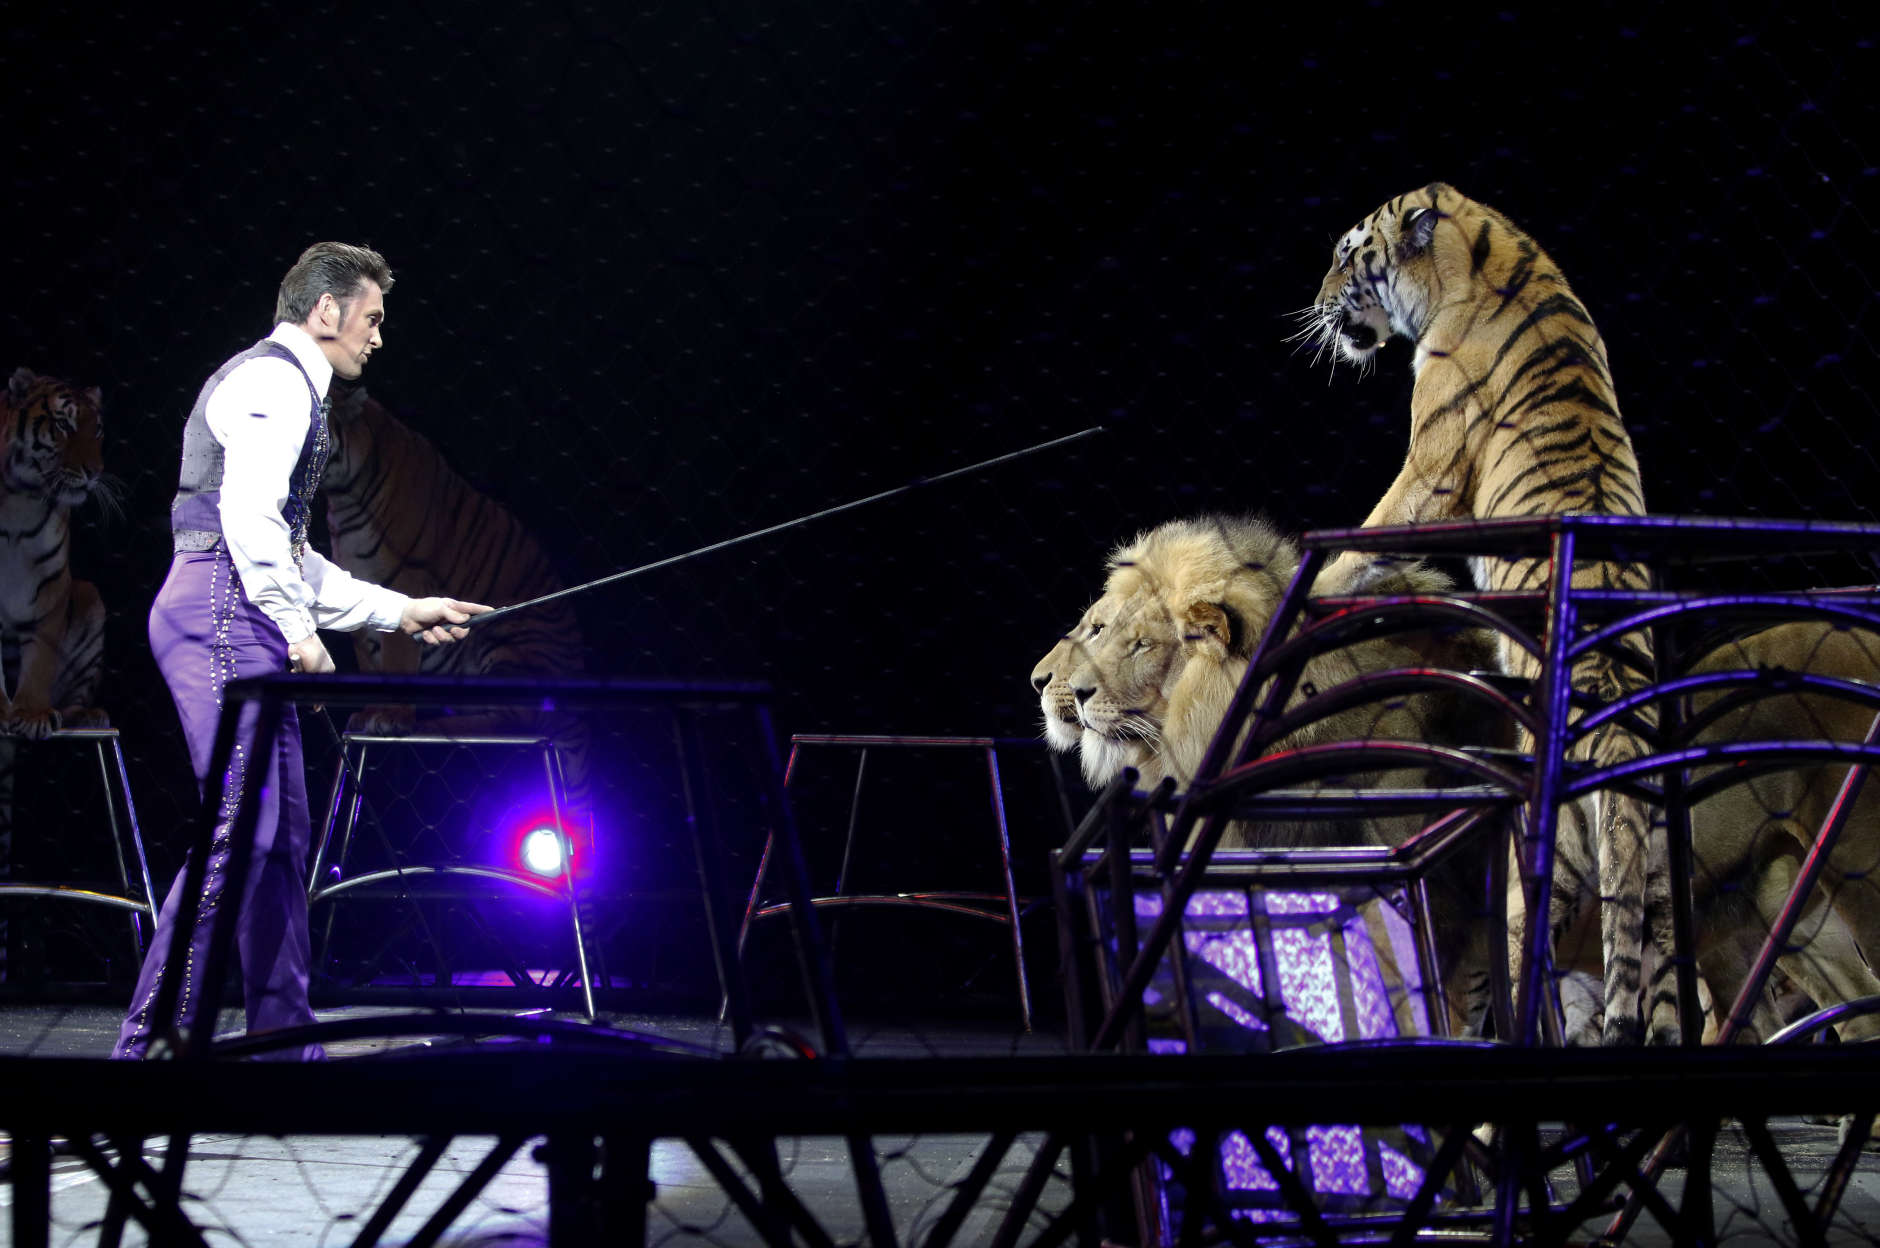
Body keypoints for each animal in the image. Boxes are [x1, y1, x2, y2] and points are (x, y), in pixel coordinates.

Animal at [321, 381, 593, 841]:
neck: (342, 492)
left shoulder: (405, 579)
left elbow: (397, 660)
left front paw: (390, 716)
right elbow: (370, 662)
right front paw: (369, 712)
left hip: (508, 635)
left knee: (520, 719)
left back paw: (432, 724)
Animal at [1303, 183, 1667, 1045]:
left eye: (1346, 256)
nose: (1317, 302)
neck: (1485, 247)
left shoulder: (1432, 461)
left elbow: (1368, 535)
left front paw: (1319, 587)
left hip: (1539, 870)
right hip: (1660, 873)